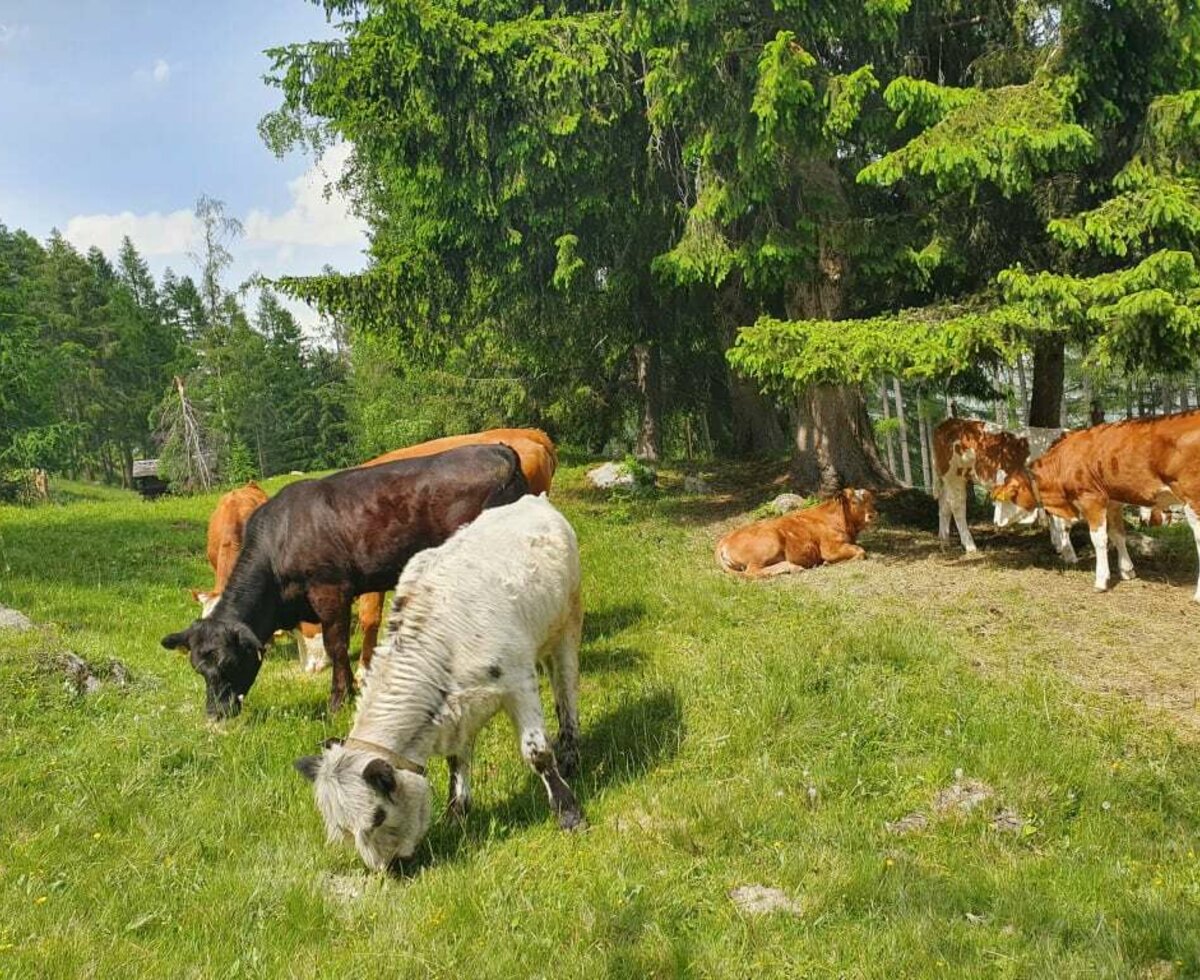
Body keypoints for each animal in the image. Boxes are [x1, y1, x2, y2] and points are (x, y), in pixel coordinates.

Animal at [162, 446, 528, 714]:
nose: (216, 713)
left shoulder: (330, 590)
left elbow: (335, 646)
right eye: (197, 667)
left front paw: (339, 699)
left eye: (229, 661)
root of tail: (497, 450)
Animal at [295, 494, 585, 868]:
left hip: (569, 623)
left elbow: (537, 753)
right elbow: (457, 761)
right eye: (343, 831)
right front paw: (456, 812)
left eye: (377, 817)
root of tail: (533, 500)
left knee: (567, 692)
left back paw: (570, 752)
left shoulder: (519, 681)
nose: (388, 870)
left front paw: (568, 810)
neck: (444, 644)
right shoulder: (458, 714)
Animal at [715, 487, 878, 578]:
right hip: (769, 544)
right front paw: (828, 563)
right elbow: (861, 551)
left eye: (870, 501)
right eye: (854, 502)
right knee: (753, 571)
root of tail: (724, 540)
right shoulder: (830, 549)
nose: (872, 515)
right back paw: (793, 567)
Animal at [988, 407, 1200, 597]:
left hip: (1192, 498)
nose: (995, 522)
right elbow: (1118, 534)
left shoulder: (1091, 499)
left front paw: (1101, 580)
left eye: (1002, 499)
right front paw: (1127, 570)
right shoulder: (1113, 501)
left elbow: (1099, 539)